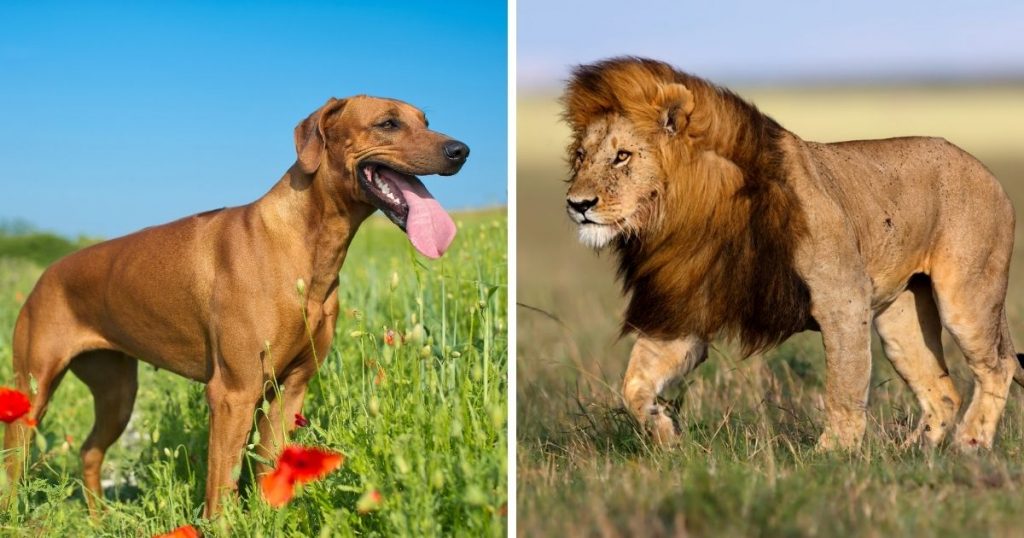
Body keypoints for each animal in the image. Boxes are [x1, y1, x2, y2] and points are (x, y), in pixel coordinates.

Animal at [2, 95, 468, 516]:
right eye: (388, 123)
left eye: (426, 121)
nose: (460, 150)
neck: (306, 244)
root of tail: (46, 274)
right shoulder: (232, 394)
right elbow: (221, 486)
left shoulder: (290, 389)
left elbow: (272, 470)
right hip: (32, 391)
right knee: (15, 463)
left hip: (117, 393)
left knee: (90, 450)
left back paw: (99, 519)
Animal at [565, 56, 1019, 448]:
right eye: (582, 156)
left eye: (622, 156)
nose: (577, 204)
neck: (690, 214)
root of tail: (985, 170)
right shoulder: (687, 307)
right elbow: (634, 385)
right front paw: (666, 435)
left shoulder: (844, 297)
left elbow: (845, 386)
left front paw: (833, 454)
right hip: (902, 316)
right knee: (943, 393)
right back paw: (913, 452)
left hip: (966, 299)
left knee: (999, 367)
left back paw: (969, 445)